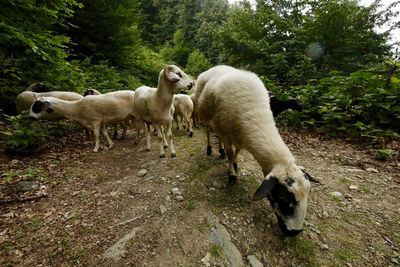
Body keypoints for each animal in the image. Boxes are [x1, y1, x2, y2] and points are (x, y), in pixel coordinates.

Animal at [195, 66, 314, 238]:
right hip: (206, 117)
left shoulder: (239, 136)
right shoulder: (224, 130)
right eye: (283, 199)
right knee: (208, 132)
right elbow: (230, 152)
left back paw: (220, 151)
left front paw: (234, 165)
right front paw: (232, 175)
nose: (294, 232)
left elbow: (236, 151)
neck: (255, 113)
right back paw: (211, 149)